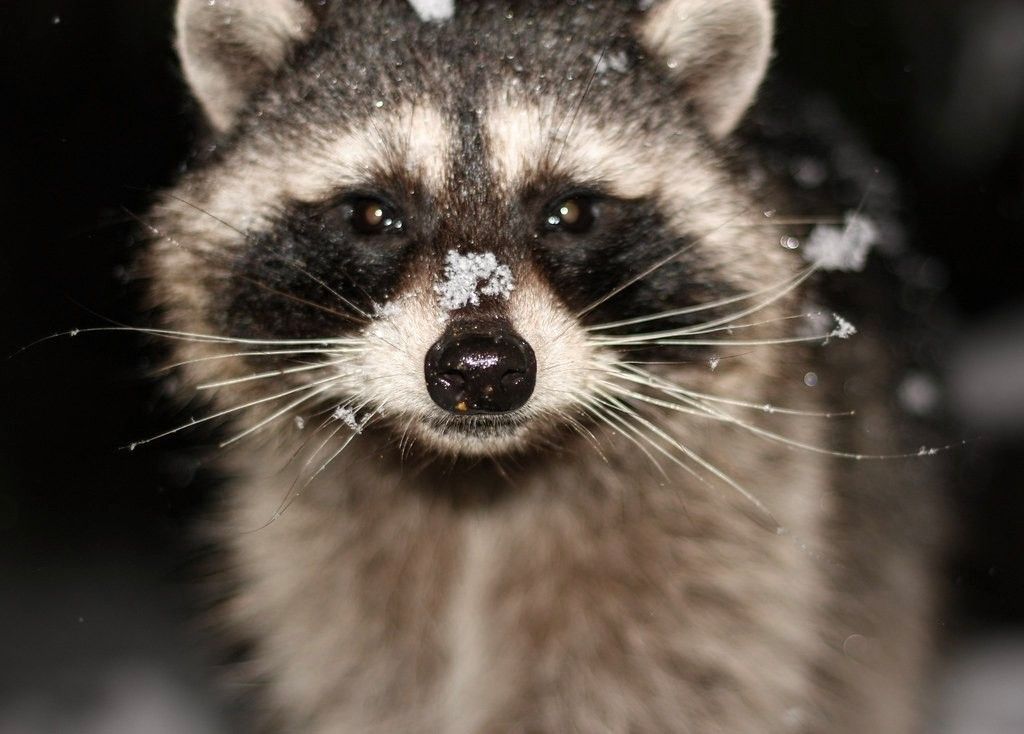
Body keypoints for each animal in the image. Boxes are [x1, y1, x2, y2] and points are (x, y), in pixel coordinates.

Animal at [146, 0, 942, 731]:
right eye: (372, 214)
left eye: (573, 212)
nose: (480, 367)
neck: (477, 485)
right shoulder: (323, 587)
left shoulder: (722, 576)